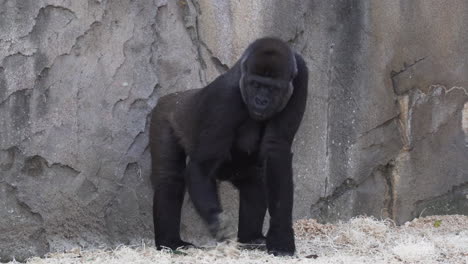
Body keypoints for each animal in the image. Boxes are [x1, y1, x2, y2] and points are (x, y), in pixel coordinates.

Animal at [150, 37, 308, 256]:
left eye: (273, 89)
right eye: (255, 84)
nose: (261, 101)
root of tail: (175, 96)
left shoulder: (301, 77)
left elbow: (276, 150)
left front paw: (281, 235)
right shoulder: (224, 97)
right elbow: (201, 166)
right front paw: (217, 221)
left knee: (255, 181)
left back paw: (251, 237)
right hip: (164, 114)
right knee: (169, 178)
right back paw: (170, 242)